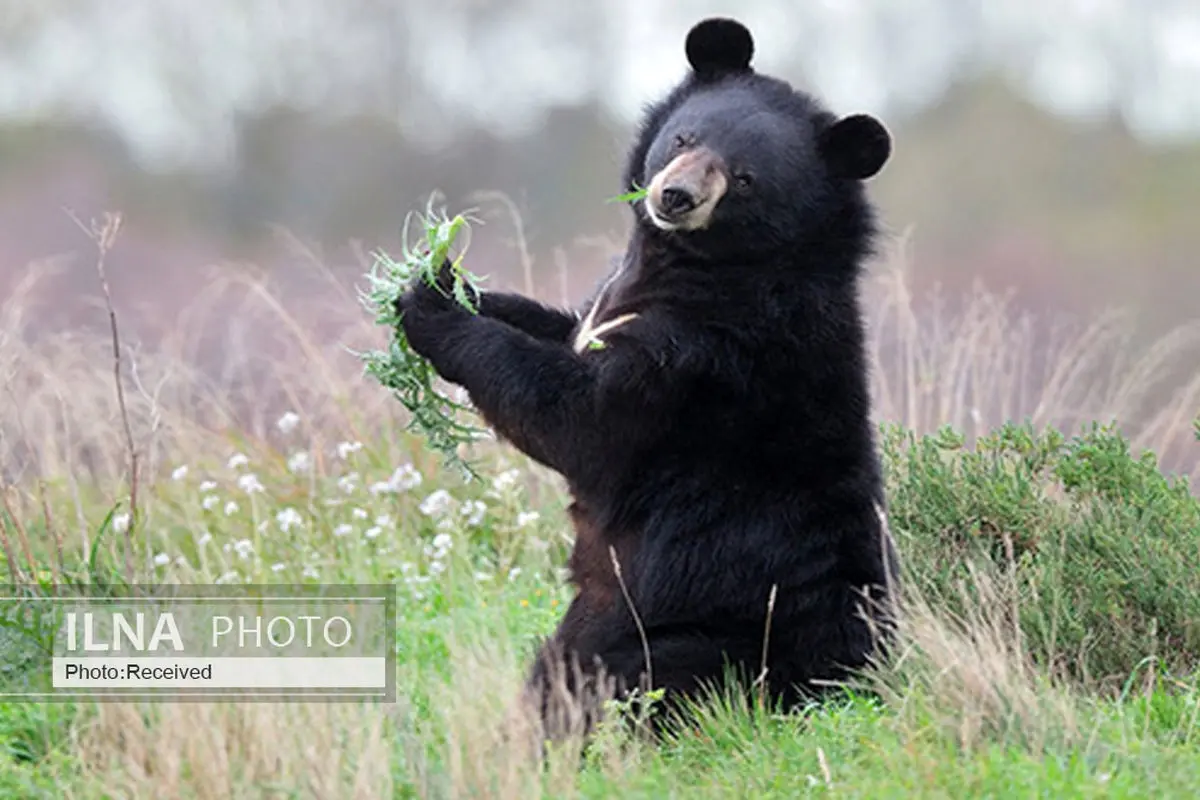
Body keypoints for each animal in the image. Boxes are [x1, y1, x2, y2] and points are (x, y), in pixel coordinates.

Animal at [398, 17, 897, 738]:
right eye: (686, 137)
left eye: (744, 178)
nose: (674, 197)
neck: (693, 263)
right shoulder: (605, 310)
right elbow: (559, 326)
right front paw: (442, 274)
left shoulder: (701, 358)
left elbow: (581, 419)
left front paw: (427, 306)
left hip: (681, 629)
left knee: (601, 686)